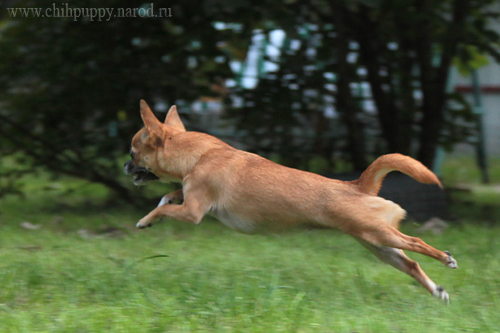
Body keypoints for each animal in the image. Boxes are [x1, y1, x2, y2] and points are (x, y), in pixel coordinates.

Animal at [125, 100, 458, 302]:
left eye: (132, 153)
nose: (125, 166)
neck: (200, 155)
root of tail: (357, 185)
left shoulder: (193, 212)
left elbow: (168, 207)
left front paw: (145, 220)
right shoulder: (189, 197)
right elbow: (170, 195)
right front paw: (161, 201)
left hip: (379, 235)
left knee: (416, 242)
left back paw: (446, 258)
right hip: (378, 245)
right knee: (411, 263)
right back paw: (437, 291)